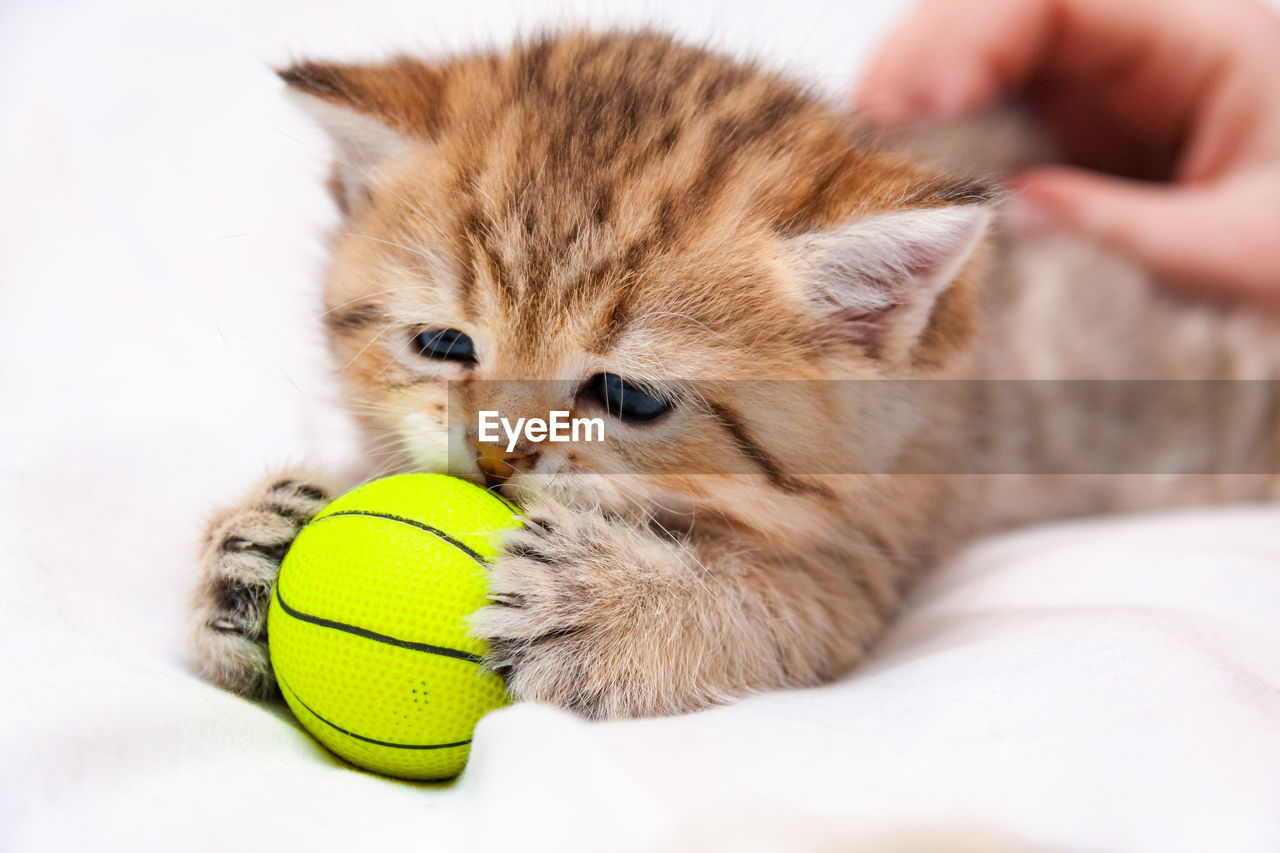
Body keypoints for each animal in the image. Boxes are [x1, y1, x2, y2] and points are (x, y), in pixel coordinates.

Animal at [192, 29, 1280, 712]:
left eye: (630, 396)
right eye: (446, 346)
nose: (498, 460)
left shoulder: (876, 545)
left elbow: (777, 609)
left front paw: (615, 604)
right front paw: (256, 542)